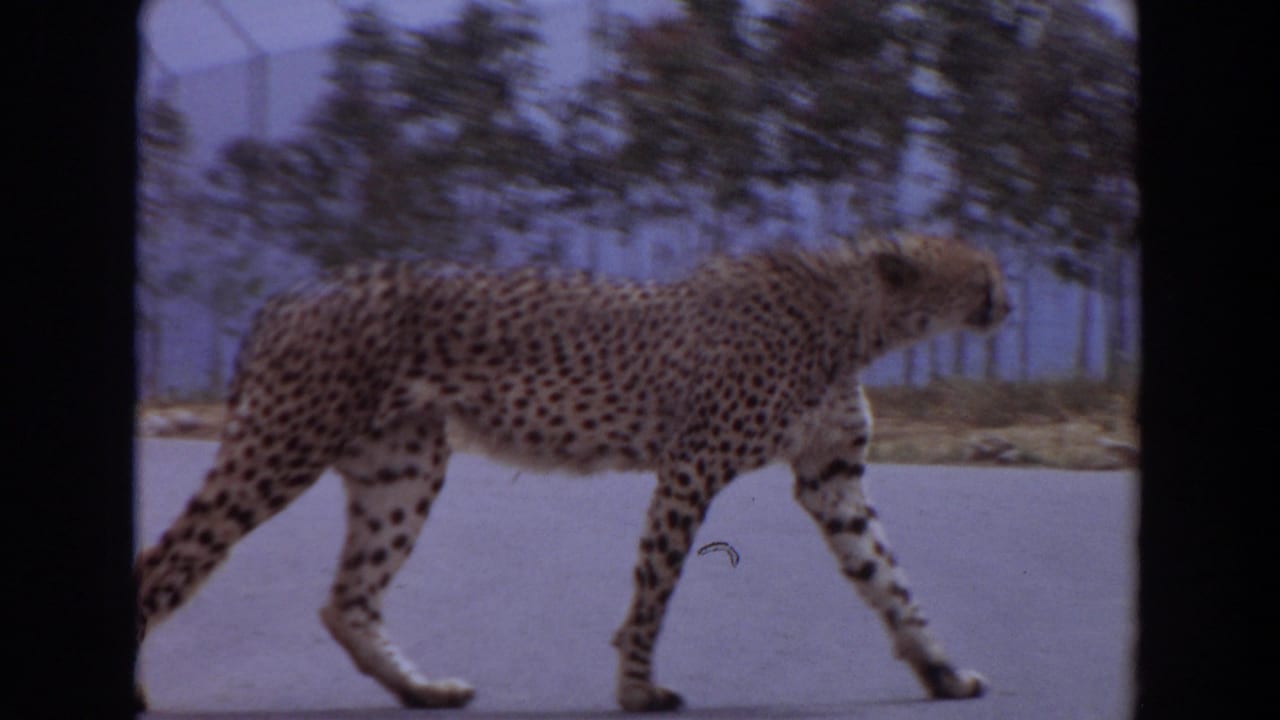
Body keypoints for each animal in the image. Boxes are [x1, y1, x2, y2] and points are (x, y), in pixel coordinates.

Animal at [135, 233, 1010, 712]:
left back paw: (423, 690)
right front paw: (637, 689)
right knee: (166, 562)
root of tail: (293, 292)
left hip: (402, 465)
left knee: (347, 599)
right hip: (282, 445)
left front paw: (941, 671)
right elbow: (655, 586)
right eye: (985, 274)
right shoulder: (692, 465)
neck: (857, 318)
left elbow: (887, 577)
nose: (1007, 303)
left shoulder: (831, 477)